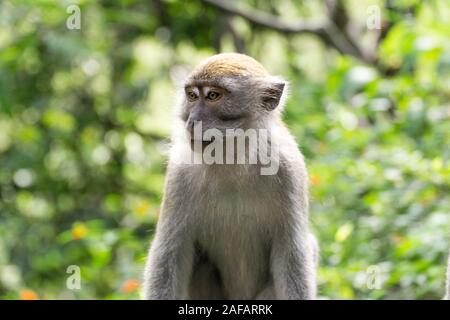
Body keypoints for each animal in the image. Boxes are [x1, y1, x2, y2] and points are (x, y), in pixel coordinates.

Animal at [143, 52, 316, 300]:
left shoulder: (289, 169)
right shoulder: (180, 173)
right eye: (192, 96)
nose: (192, 121)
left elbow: (292, 254)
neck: (232, 159)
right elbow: (169, 253)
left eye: (213, 95)